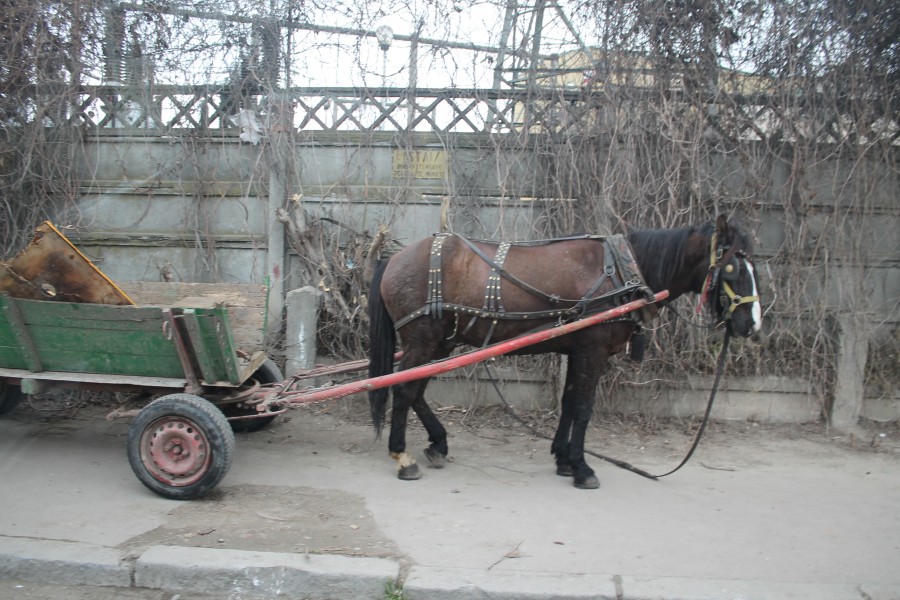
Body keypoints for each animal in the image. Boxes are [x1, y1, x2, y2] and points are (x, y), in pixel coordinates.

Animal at [366, 214, 760, 488]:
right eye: (732, 267)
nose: (751, 325)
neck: (623, 272)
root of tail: (393, 258)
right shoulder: (593, 349)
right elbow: (584, 408)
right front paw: (583, 468)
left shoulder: (577, 348)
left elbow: (569, 403)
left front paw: (565, 460)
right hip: (422, 340)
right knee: (403, 390)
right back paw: (403, 457)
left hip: (440, 342)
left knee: (416, 390)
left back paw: (437, 443)